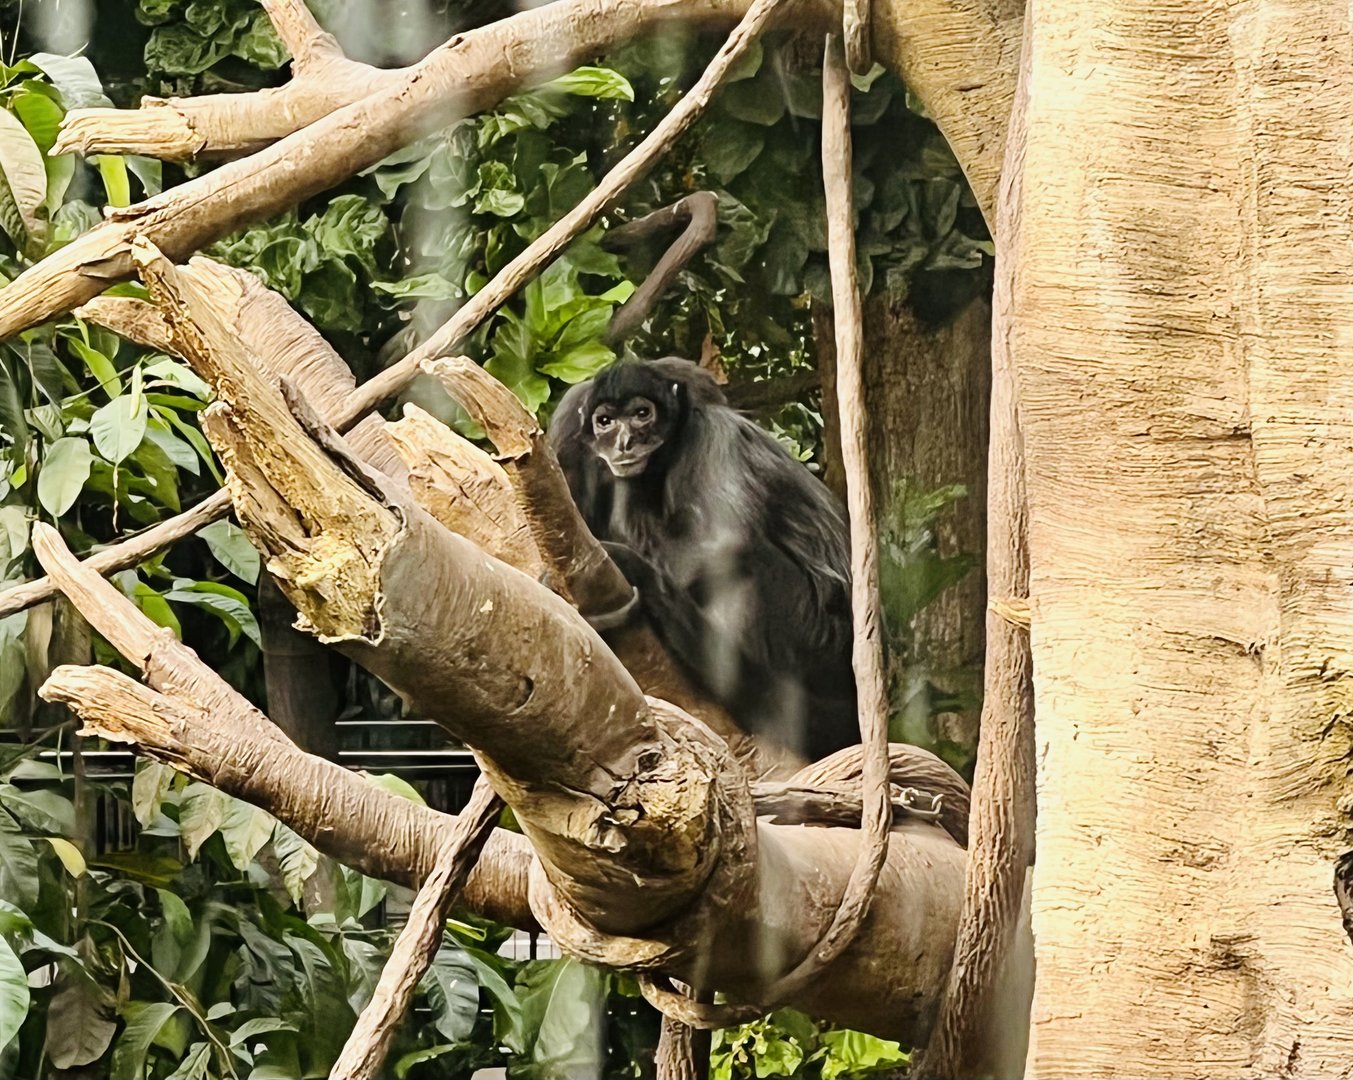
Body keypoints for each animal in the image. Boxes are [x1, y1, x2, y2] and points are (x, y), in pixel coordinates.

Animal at [547, 357, 858, 761]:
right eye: (605, 421)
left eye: (642, 414)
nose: (624, 442)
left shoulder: (715, 435)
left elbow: (726, 541)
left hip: (815, 630)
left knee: (748, 564)